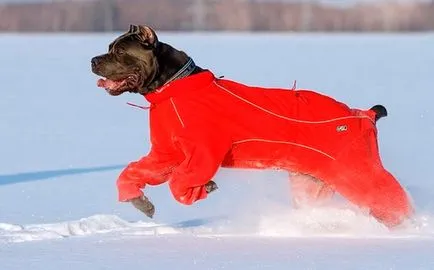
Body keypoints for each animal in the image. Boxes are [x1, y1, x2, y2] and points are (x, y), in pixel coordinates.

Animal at [92, 24, 414, 228]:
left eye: (119, 51)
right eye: (108, 47)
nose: (93, 60)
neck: (171, 88)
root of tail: (365, 114)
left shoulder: (204, 150)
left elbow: (180, 181)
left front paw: (202, 188)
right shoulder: (165, 153)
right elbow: (134, 171)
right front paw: (139, 201)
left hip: (357, 170)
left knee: (390, 199)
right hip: (313, 182)